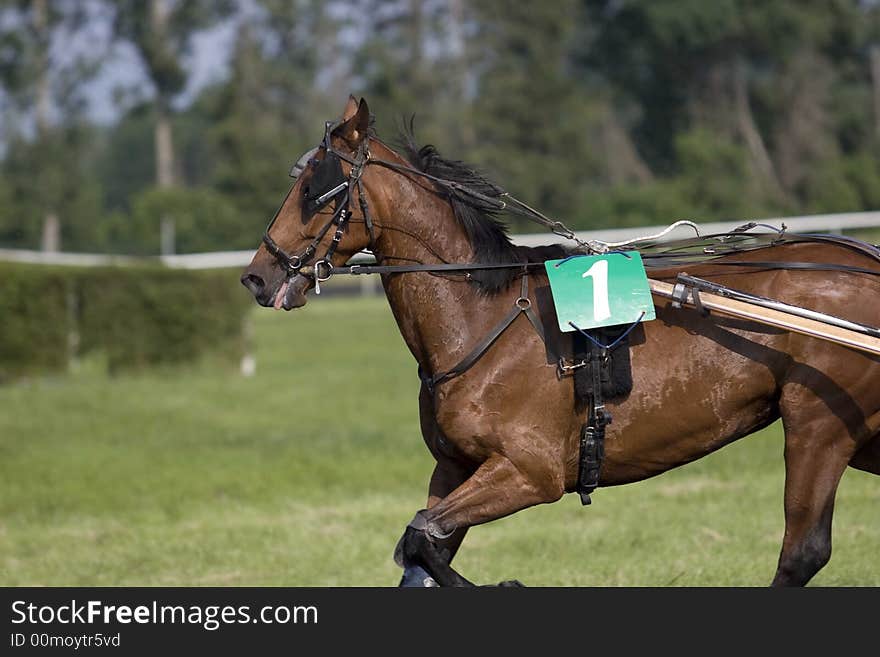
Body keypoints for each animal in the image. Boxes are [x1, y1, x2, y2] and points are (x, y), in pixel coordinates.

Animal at [241, 96, 880, 584]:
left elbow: (421, 538)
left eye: (314, 188)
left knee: (803, 552)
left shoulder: (531, 471)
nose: (258, 275)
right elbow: (420, 546)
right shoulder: (454, 466)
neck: (483, 317)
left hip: (817, 426)